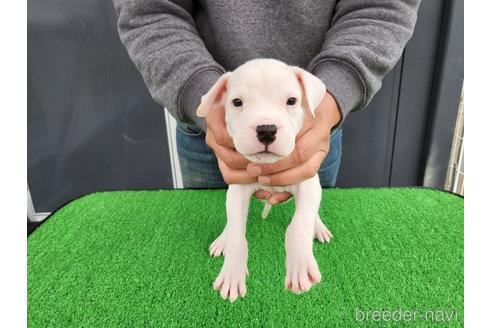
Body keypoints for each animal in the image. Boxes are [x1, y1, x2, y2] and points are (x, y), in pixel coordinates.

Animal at [198, 58, 332, 302]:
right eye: (237, 102)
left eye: (291, 101)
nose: (267, 130)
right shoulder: (237, 191)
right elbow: (237, 233)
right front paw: (232, 271)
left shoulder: (307, 182)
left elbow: (300, 224)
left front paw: (300, 265)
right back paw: (223, 238)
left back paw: (319, 227)